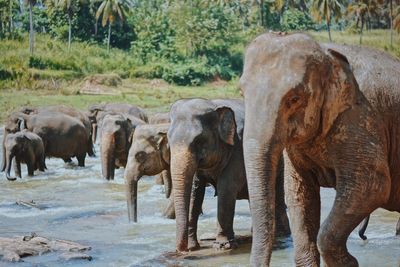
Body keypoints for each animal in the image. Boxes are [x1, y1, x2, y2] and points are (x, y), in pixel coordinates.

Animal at [166, 99, 290, 253]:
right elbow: (196, 191)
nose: (182, 250)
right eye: (168, 139)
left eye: (199, 140)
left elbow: (226, 188)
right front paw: (193, 246)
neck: (213, 106)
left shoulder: (239, 148)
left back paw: (281, 235)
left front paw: (222, 246)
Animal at [241, 32, 400, 266]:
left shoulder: (361, 116)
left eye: (294, 99)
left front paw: (350, 262)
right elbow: (299, 191)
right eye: (241, 92)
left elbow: (373, 186)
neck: (325, 51)